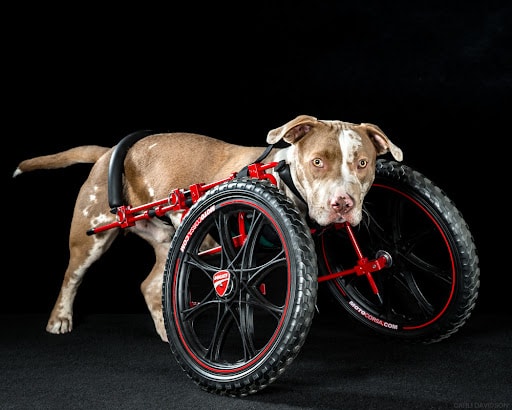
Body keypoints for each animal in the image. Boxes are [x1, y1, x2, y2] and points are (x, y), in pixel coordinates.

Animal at [13, 113, 404, 342]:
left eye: (363, 163)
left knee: (150, 284)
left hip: (170, 240)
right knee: (72, 276)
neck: (284, 176)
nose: (343, 204)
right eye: (318, 162)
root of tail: (109, 152)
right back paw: (60, 318)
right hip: (90, 236)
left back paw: (167, 330)